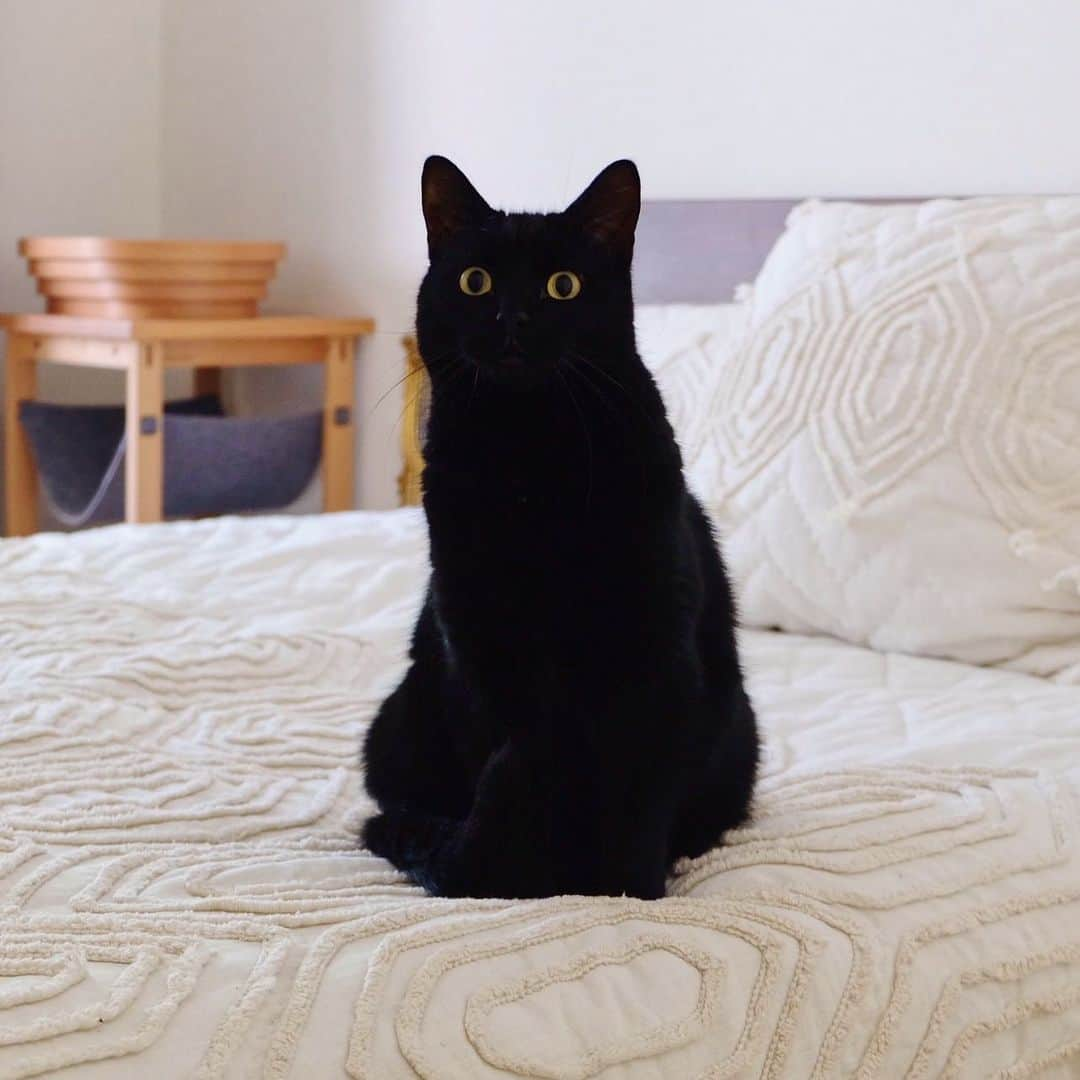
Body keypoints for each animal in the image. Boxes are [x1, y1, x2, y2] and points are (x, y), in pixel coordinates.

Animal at [365, 156, 760, 898]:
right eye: (476, 280)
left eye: (562, 286)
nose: (513, 317)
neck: (530, 462)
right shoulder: (479, 647)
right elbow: (508, 773)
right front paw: (505, 879)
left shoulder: (653, 648)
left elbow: (637, 788)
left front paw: (621, 890)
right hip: (396, 726)